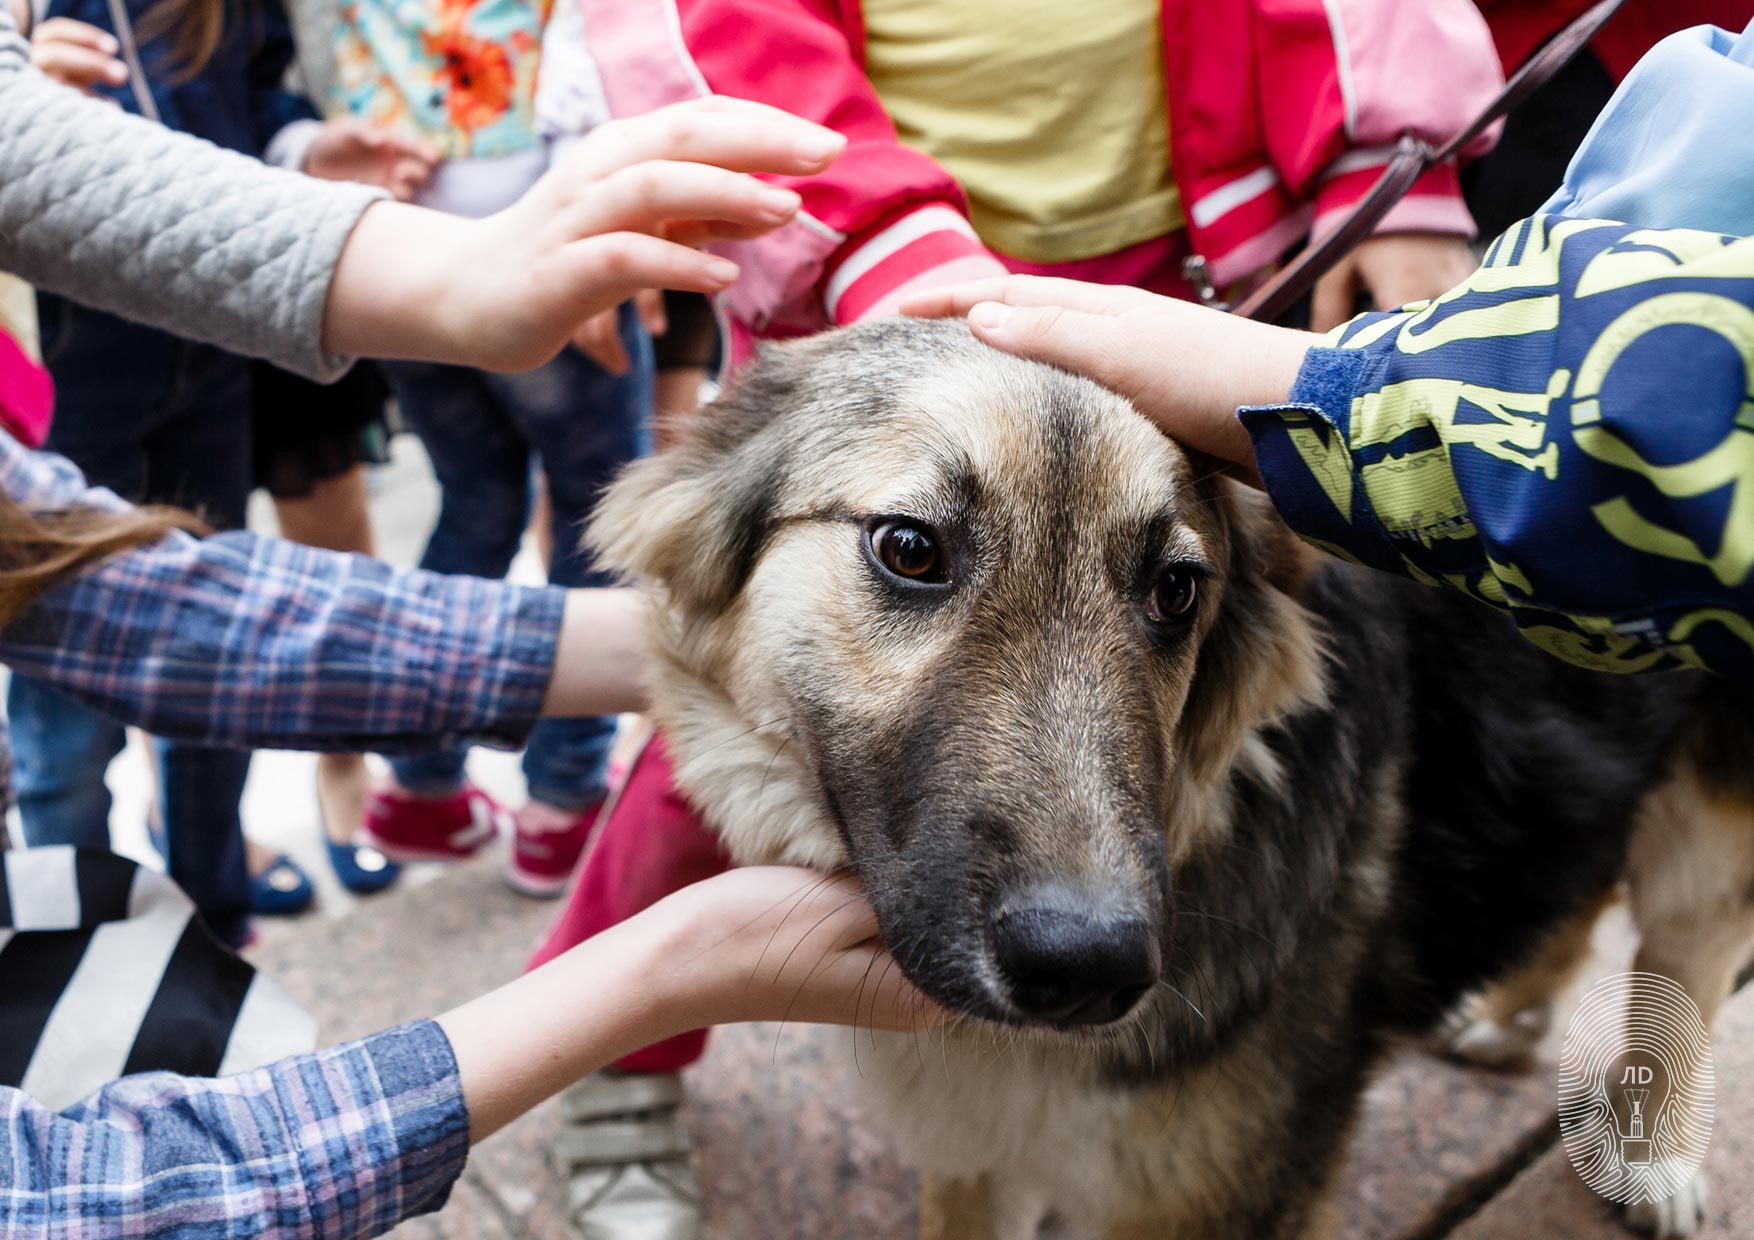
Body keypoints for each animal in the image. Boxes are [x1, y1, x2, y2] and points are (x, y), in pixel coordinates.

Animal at [592, 320, 1754, 1240]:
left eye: (1176, 590)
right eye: (910, 547)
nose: (1088, 965)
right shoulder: (977, 1155)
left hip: (1708, 833)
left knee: (1687, 960)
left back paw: (1652, 1157)